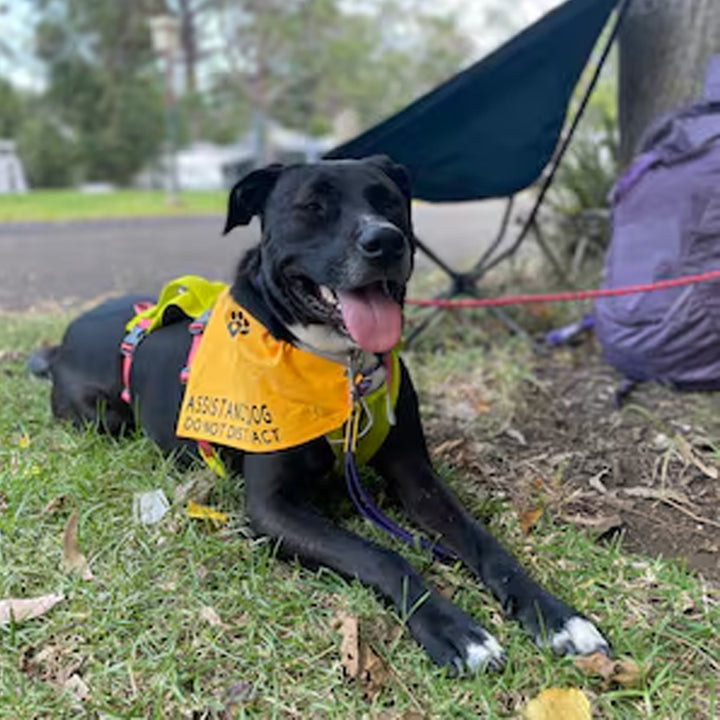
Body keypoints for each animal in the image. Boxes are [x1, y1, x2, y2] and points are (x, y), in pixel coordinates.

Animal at [32, 158, 608, 676]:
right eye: (311, 207)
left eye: (388, 202)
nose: (385, 241)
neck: (337, 366)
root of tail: (64, 340)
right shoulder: (273, 510)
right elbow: (383, 556)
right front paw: (455, 630)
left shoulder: (416, 477)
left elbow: (485, 542)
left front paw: (556, 616)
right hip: (103, 418)